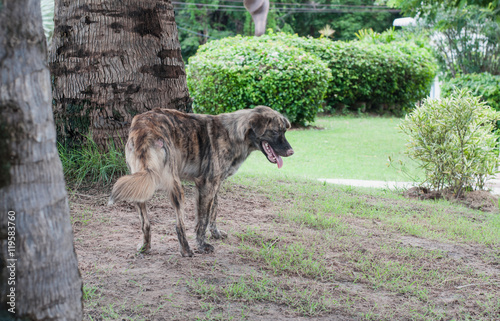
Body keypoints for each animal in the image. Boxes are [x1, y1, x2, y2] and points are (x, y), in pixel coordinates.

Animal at [106, 106, 292, 256]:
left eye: (284, 131)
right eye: (275, 132)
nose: (291, 152)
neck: (233, 134)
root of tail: (142, 127)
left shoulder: (216, 184)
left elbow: (214, 211)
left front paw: (216, 233)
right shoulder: (206, 185)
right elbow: (203, 219)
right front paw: (202, 245)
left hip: (140, 183)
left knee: (146, 223)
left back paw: (145, 247)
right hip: (175, 186)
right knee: (179, 224)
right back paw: (186, 250)